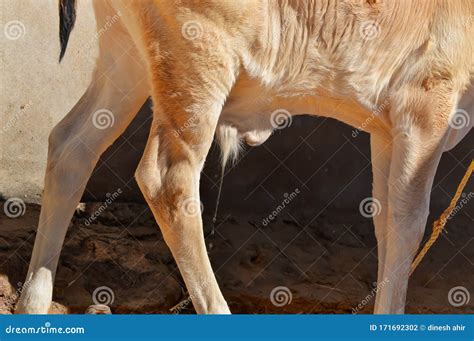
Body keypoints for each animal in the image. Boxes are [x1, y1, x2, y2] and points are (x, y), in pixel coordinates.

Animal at [15, 0, 474, 314]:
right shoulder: (426, 105)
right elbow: (407, 224)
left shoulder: (387, 126)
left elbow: (384, 219)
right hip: (196, 65)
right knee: (167, 180)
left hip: (126, 57)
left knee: (71, 145)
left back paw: (33, 301)